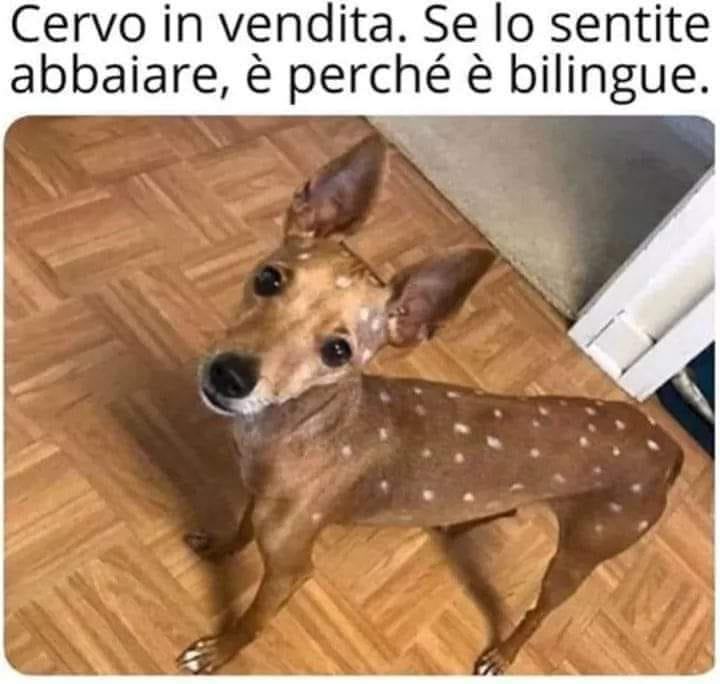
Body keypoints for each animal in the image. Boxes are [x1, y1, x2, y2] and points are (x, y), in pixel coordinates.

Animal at [176, 134, 683, 675]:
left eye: (338, 351)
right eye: (269, 279)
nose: (230, 375)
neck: (301, 428)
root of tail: (668, 447)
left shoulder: (291, 568)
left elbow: (251, 623)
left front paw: (217, 652)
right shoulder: (261, 502)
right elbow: (241, 529)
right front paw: (219, 548)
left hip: (580, 555)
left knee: (538, 614)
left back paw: (503, 654)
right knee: (504, 508)